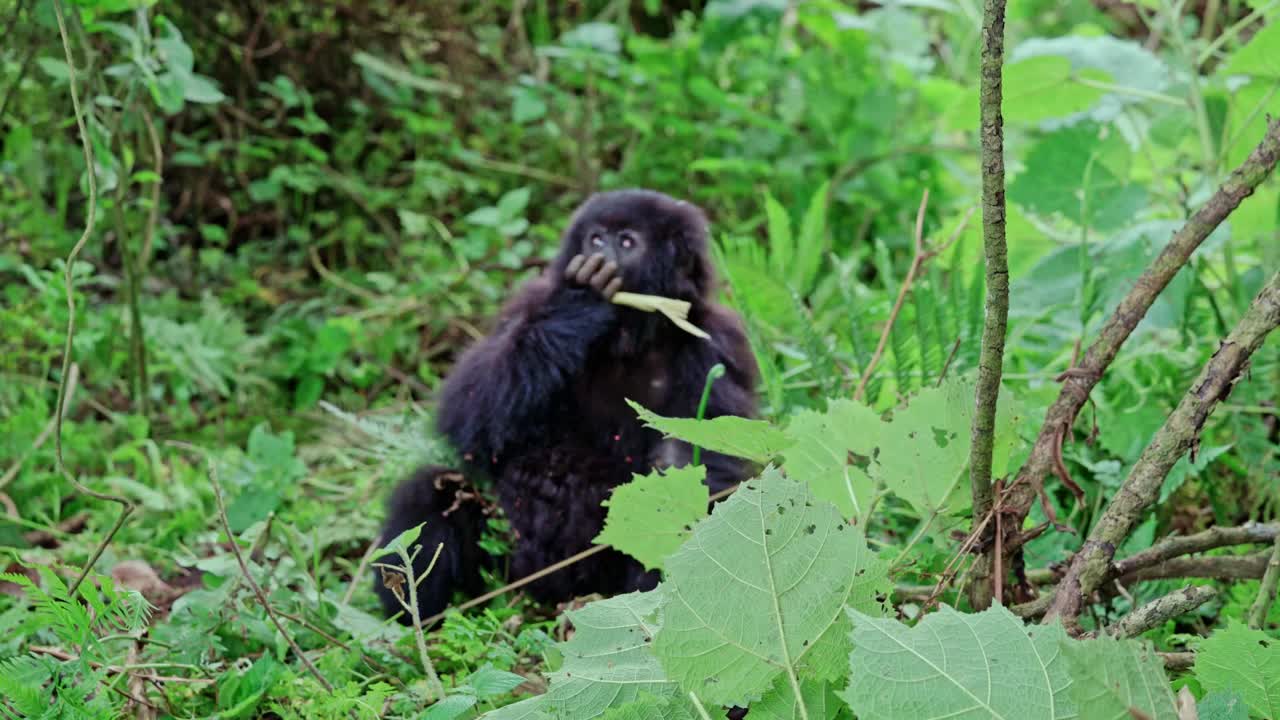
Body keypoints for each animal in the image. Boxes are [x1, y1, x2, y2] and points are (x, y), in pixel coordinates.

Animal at [376, 188, 757, 620]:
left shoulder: (716, 343)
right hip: (507, 567)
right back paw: (415, 613)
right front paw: (579, 301)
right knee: (430, 491)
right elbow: (470, 414)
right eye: (596, 238)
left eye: (627, 242)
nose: (599, 256)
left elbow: (701, 460)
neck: (632, 336)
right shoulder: (529, 304)